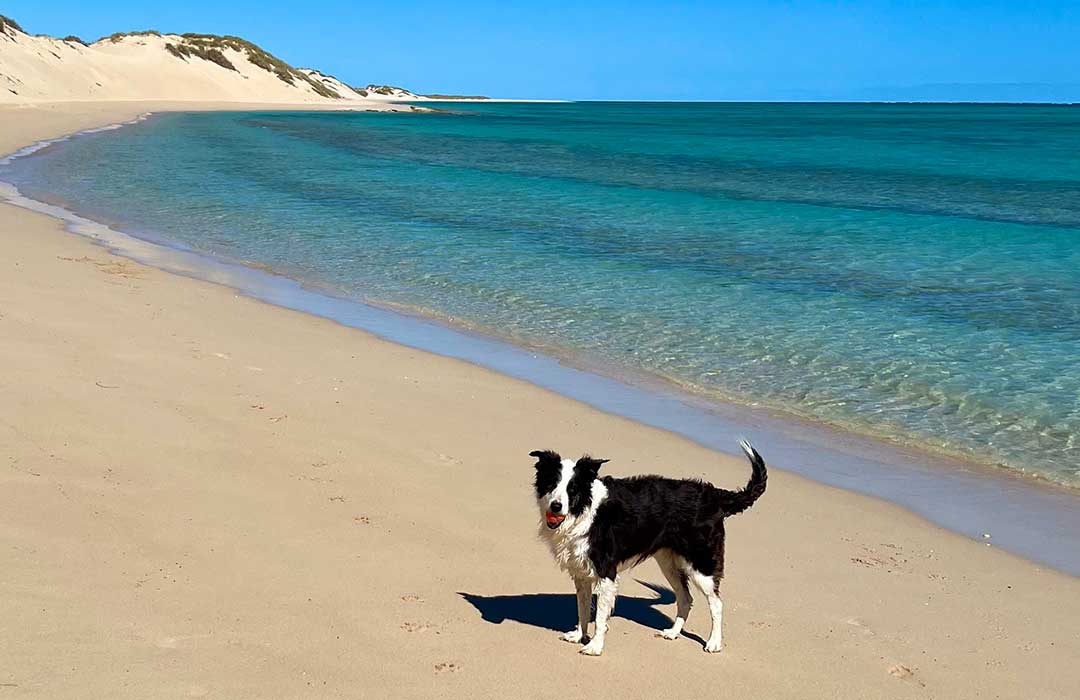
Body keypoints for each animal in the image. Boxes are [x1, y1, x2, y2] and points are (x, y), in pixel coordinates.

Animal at [531, 440, 768, 661]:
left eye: (572, 489)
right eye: (551, 484)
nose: (556, 506)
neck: (584, 510)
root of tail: (714, 495)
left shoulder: (606, 572)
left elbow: (599, 617)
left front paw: (594, 647)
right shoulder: (580, 571)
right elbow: (582, 606)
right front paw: (579, 635)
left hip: (701, 564)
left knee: (716, 603)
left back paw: (714, 642)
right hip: (668, 563)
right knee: (686, 598)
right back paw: (673, 633)